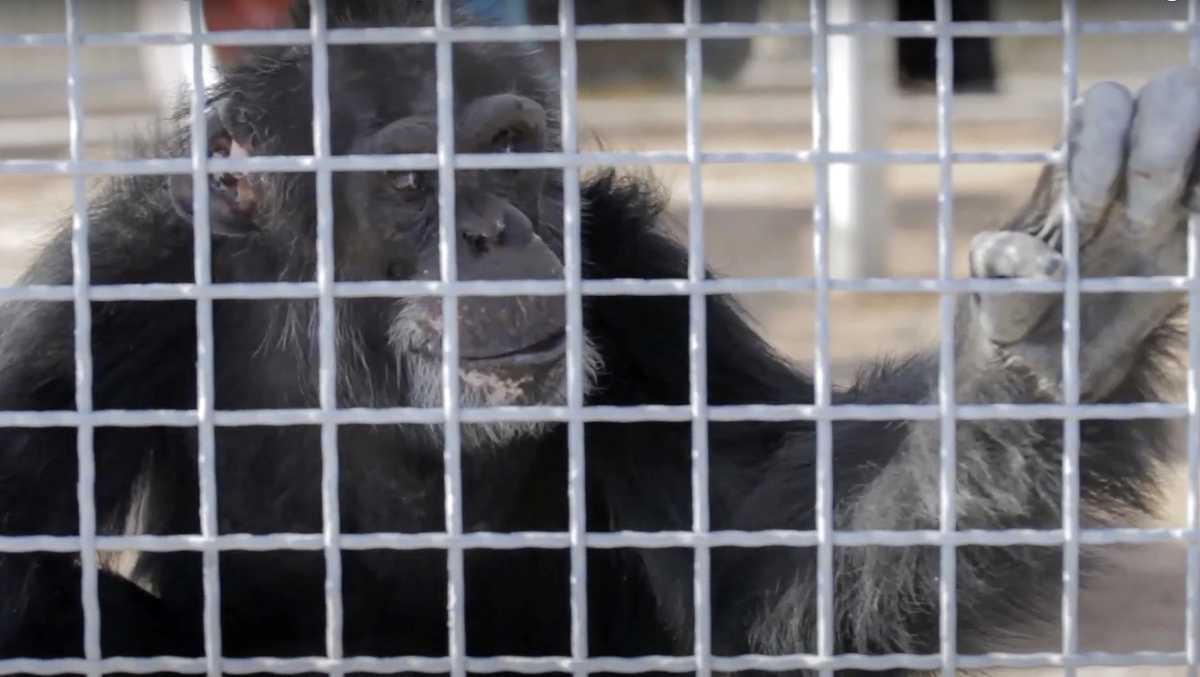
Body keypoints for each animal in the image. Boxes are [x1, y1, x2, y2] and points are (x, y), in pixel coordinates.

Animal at [0, 1, 1190, 677]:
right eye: (413, 182)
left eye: (505, 147)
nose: (494, 231)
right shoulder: (110, 296)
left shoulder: (644, 286)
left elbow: (762, 580)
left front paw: (1074, 323)